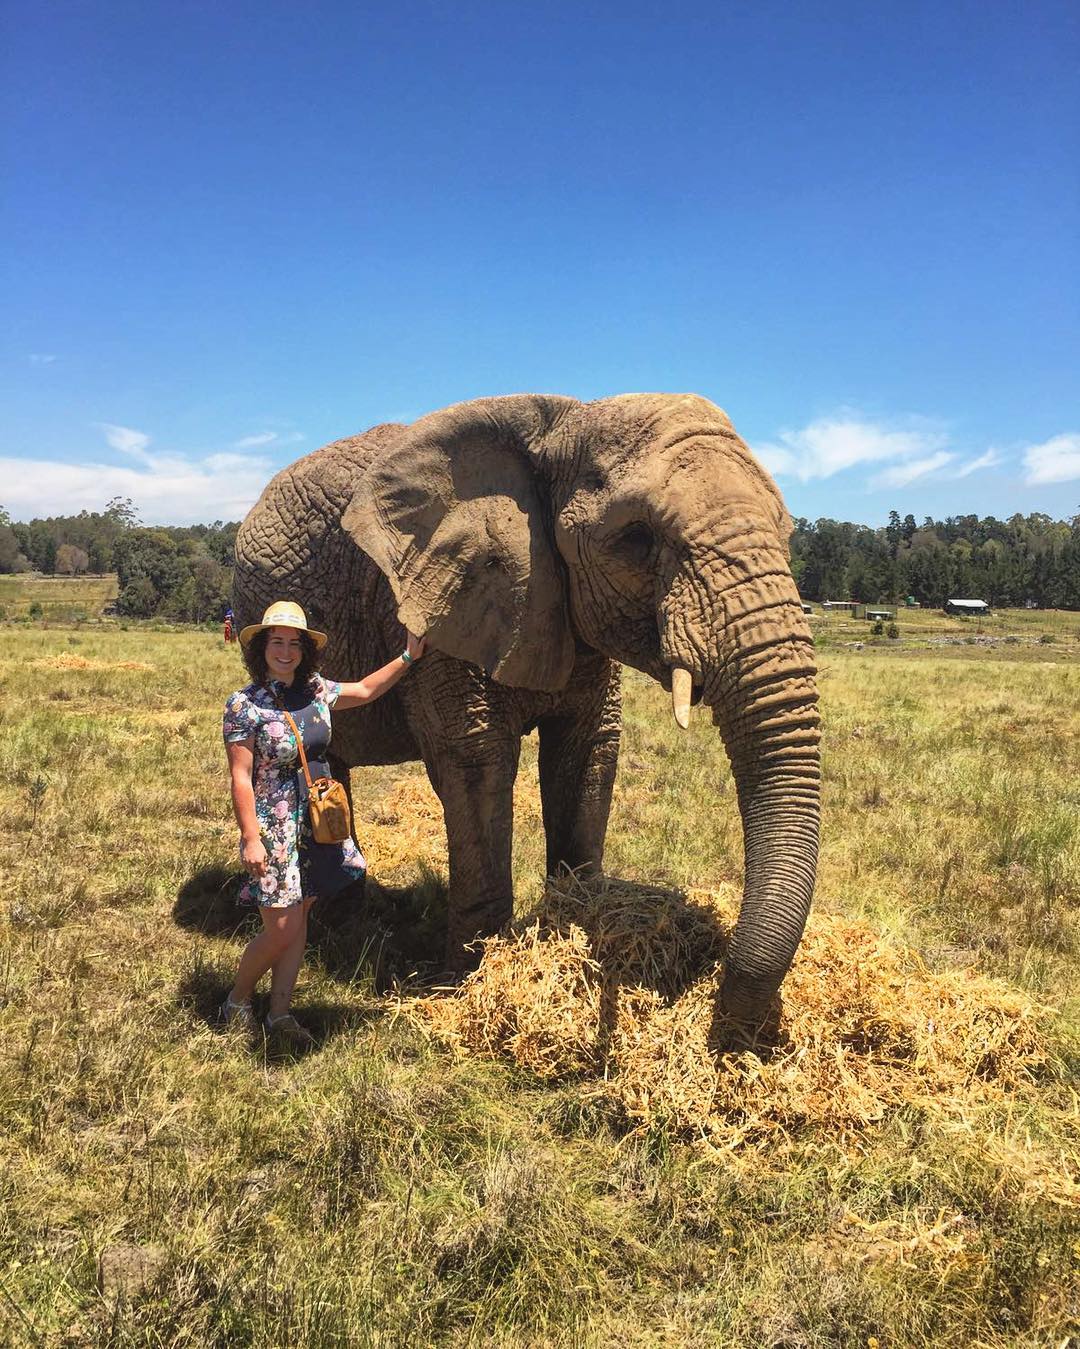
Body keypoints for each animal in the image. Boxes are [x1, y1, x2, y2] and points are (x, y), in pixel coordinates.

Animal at [232, 393, 820, 1020]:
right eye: (637, 539)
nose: (724, 1018)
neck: (564, 424)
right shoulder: (454, 604)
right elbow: (477, 766)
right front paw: (468, 983)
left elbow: (586, 755)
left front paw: (577, 922)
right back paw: (342, 922)